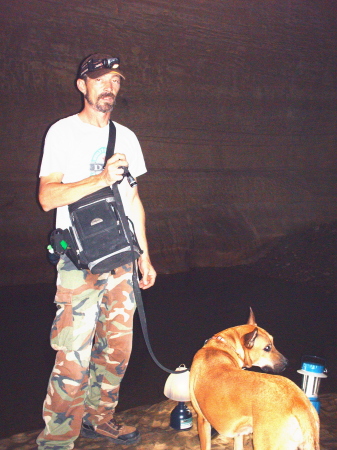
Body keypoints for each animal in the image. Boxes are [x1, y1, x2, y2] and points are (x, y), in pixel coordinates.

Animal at [189, 310, 318, 450]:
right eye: (267, 348)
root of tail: (301, 404)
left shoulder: (202, 420)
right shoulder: (239, 431)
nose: (287, 364)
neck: (221, 347)